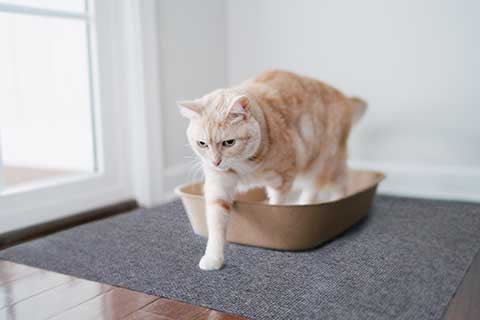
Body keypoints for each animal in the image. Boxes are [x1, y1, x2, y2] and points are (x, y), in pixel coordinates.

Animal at [178, 70, 366, 270]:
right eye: (202, 144)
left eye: (229, 142)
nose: (216, 162)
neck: (243, 164)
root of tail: (343, 96)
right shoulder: (218, 186)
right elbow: (216, 223)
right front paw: (213, 257)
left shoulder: (283, 178)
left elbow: (276, 206)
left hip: (324, 163)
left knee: (337, 185)